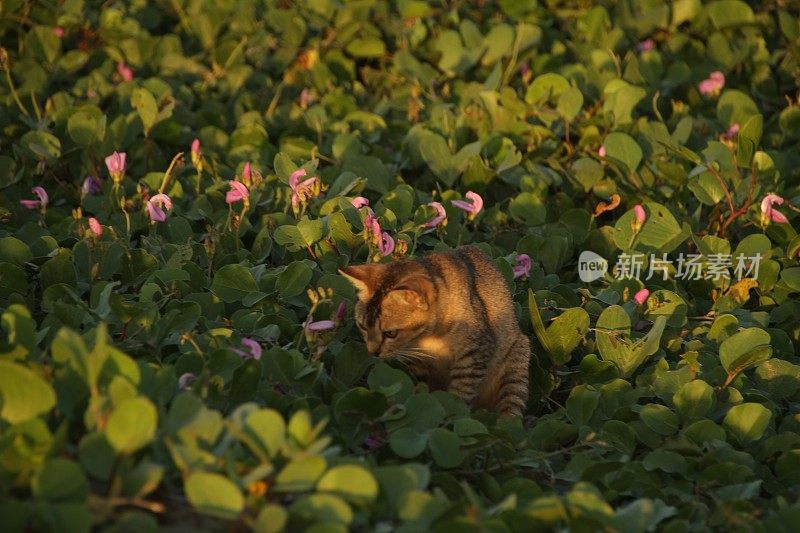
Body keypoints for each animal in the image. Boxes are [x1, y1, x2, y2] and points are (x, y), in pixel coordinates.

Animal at [340, 245, 532, 416]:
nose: (372, 352)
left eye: (391, 333)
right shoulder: (418, 364)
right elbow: (424, 391)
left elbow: (460, 396)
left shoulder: (475, 354)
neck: (430, 336)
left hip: (517, 362)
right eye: (363, 327)